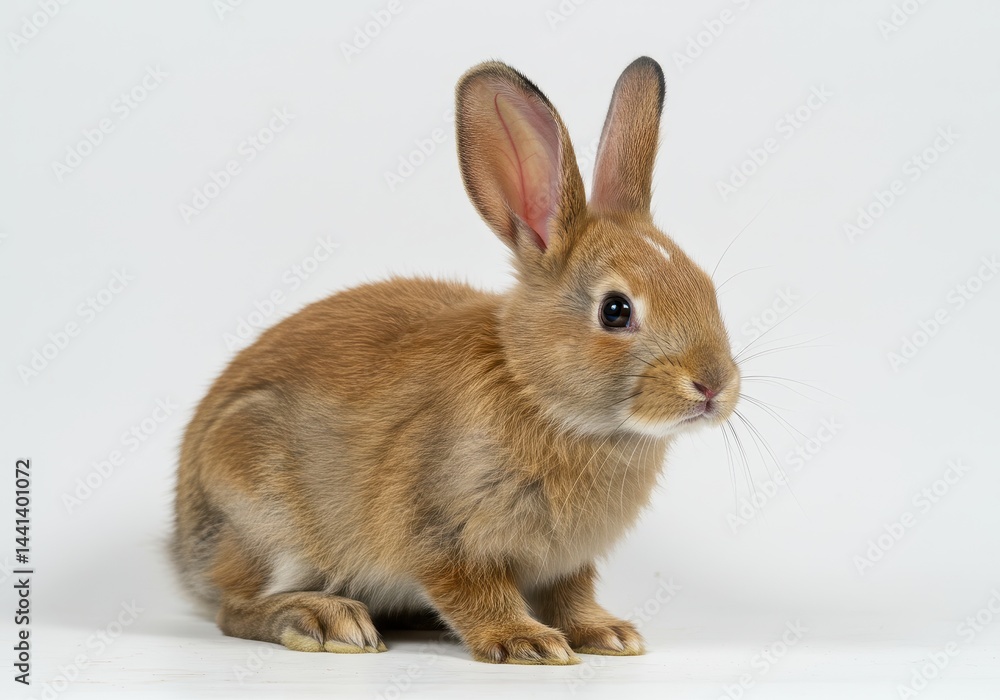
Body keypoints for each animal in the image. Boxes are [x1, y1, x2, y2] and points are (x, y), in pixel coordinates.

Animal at [172, 56, 740, 665]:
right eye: (616, 310)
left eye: (705, 288)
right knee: (234, 607)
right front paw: (527, 642)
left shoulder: (565, 564)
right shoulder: (443, 533)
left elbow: (572, 595)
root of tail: (182, 547)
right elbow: (474, 590)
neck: (534, 390)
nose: (713, 386)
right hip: (265, 515)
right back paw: (325, 620)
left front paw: (608, 634)